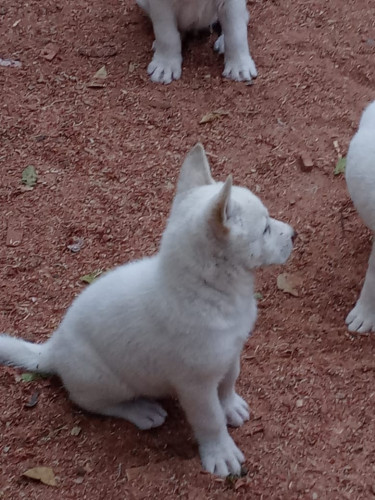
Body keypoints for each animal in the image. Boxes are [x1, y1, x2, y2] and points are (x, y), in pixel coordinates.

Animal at [0, 145, 294, 476]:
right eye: (266, 229)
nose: (294, 234)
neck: (208, 290)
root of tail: (52, 349)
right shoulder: (195, 385)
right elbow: (210, 420)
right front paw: (221, 451)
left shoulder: (231, 351)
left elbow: (229, 381)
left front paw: (231, 406)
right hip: (105, 379)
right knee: (91, 402)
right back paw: (141, 410)